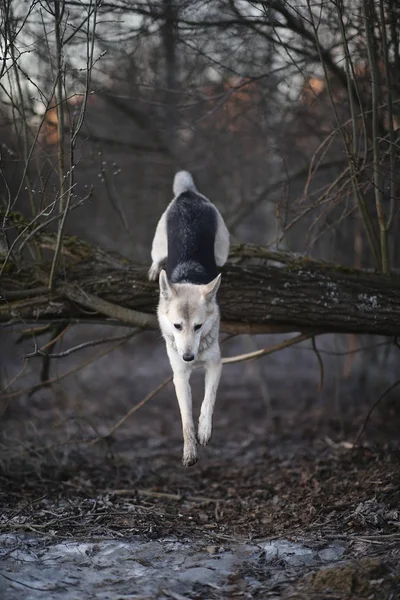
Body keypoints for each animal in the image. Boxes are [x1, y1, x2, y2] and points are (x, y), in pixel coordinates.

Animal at [148, 171, 230, 466]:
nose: (188, 357)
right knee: (157, 257)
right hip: (159, 243)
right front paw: (190, 450)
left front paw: (205, 431)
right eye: (177, 326)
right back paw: (154, 270)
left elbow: (208, 401)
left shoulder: (216, 365)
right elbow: (185, 419)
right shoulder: (180, 377)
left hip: (223, 245)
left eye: (198, 327)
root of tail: (188, 194)